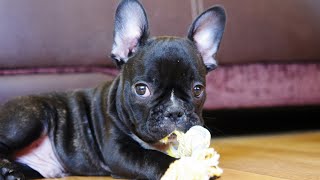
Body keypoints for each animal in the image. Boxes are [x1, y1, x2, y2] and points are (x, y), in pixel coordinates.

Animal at [0, 0, 225, 179]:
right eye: (141, 89)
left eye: (197, 90)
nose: (175, 111)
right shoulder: (120, 151)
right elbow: (153, 157)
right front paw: (190, 167)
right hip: (30, 118)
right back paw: (7, 170)